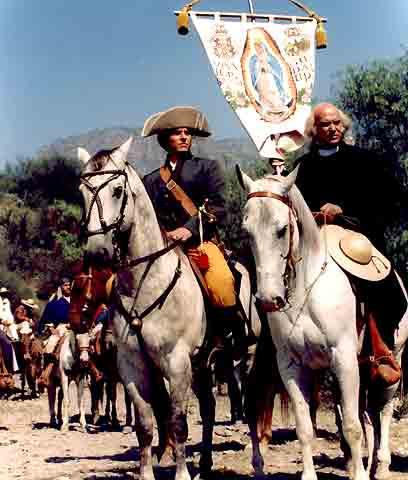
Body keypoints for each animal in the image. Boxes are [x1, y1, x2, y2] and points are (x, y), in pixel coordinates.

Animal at [77, 137, 264, 478]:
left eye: (117, 191)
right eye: (82, 193)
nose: (98, 253)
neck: (145, 280)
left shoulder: (176, 363)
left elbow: (177, 423)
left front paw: (181, 473)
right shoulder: (133, 366)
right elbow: (145, 424)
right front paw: (147, 472)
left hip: (244, 356)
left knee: (251, 407)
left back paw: (257, 464)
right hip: (204, 364)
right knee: (209, 408)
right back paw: (205, 464)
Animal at [237, 165, 408, 480]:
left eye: (282, 229)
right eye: (247, 231)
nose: (268, 300)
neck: (307, 288)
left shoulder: (343, 358)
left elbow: (352, 426)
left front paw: (361, 475)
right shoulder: (291, 365)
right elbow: (306, 428)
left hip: (391, 359)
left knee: (384, 409)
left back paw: (381, 465)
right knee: (367, 413)